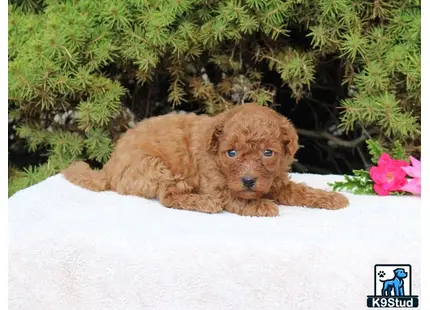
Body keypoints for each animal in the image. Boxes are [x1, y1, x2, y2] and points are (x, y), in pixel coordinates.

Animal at [62, 103, 348, 216]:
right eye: (231, 153)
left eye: (268, 153)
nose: (248, 181)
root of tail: (109, 167)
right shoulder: (217, 186)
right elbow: (234, 198)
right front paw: (261, 206)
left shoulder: (276, 180)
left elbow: (301, 191)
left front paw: (332, 198)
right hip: (153, 167)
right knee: (168, 197)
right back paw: (204, 203)